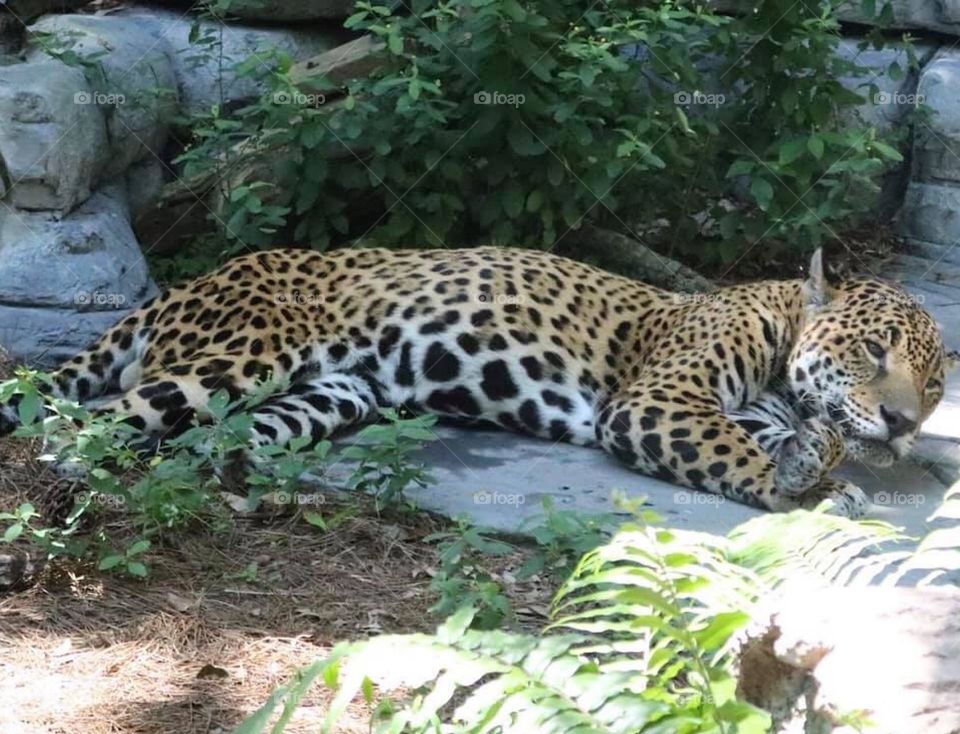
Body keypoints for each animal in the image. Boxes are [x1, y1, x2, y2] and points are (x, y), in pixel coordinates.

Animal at [0, 246, 954, 519]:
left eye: (937, 385)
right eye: (875, 351)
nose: (907, 424)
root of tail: (186, 284)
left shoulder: (757, 408)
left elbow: (797, 436)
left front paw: (823, 464)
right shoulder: (656, 402)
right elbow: (733, 453)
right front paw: (802, 489)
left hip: (325, 394)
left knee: (208, 441)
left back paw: (240, 487)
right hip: (232, 360)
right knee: (83, 424)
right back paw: (72, 490)